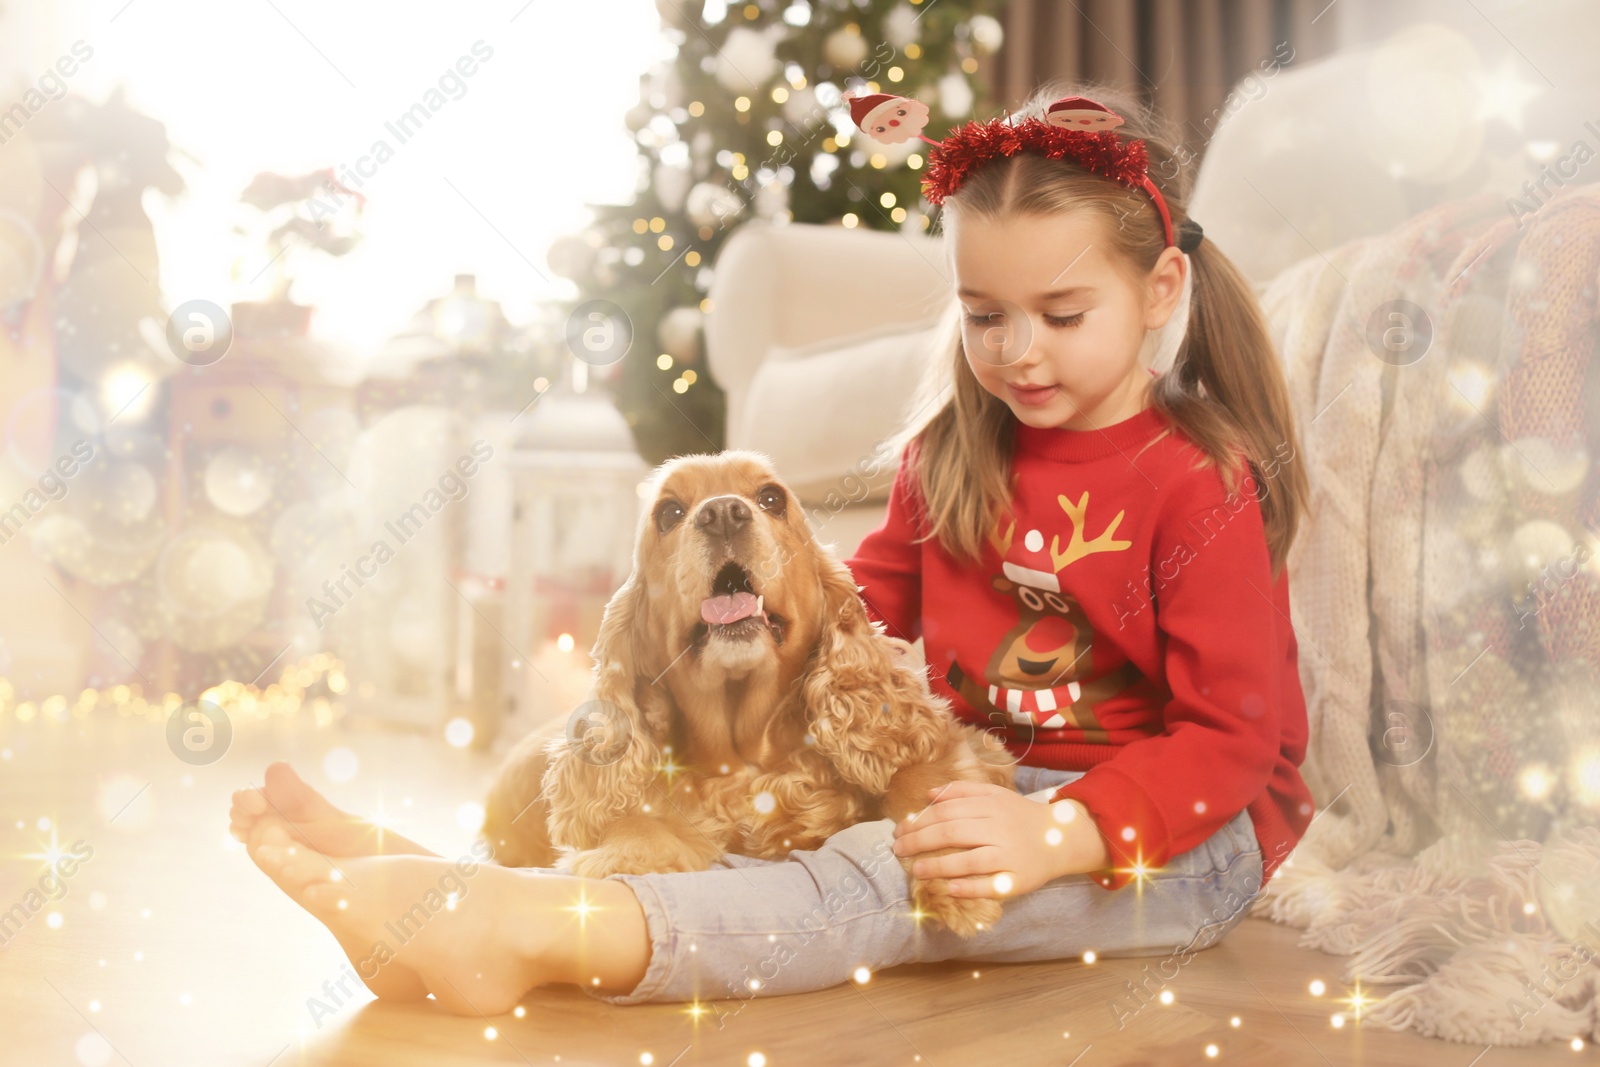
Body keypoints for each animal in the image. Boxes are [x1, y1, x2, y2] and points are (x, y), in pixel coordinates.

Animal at [480, 451, 1017, 934]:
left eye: (771, 498)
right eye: (669, 512)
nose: (722, 512)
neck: (746, 757)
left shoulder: (959, 742)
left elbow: (922, 775)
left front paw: (956, 868)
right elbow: (635, 819)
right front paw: (625, 861)